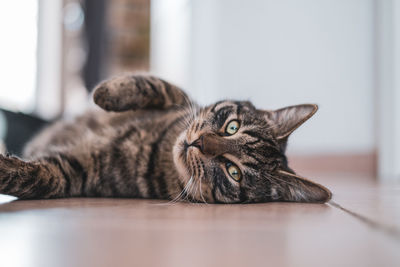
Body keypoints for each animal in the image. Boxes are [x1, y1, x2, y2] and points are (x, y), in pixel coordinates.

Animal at [0, 74, 332, 204]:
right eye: (232, 127)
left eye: (233, 172)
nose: (199, 143)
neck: (158, 146)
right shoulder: (183, 103)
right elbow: (160, 86)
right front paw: (105, 93)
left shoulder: (76, 172)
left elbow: (35, 177)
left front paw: (7, 167)